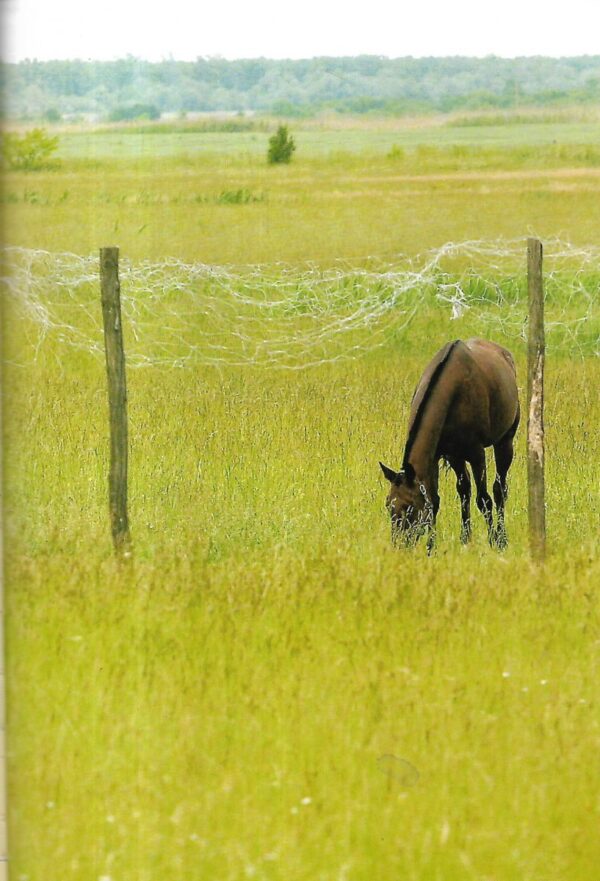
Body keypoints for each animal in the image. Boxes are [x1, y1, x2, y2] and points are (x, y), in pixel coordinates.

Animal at [382, 338, 516, 552]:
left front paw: (493, 541)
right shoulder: (442, 455)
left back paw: (502, 537)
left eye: (409, 507)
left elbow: (484, 499)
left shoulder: (476, 454)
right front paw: (431, 547)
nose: (399, 546)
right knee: (465, 490)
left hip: (505, 442)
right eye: (388, 504)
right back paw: (465, 538)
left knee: (499, 490)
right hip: (458, 458)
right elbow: (434, 501)